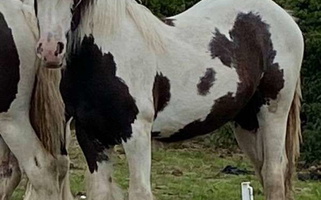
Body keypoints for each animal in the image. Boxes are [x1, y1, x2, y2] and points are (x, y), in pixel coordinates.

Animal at [35, 0, 302, 200]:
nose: (50, 50)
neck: (106, 56)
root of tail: (284, 17)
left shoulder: (137, 134)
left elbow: (140, 192)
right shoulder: (90, 136)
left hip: (273, 113)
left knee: (273, 174)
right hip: (246, 121)